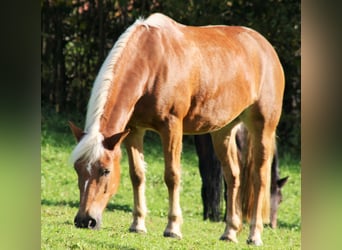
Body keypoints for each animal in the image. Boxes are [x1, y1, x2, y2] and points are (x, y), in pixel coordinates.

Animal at [68, 12, 284, 245]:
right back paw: (230, 231)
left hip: (263, 128)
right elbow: (137, 175)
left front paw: (172, 228)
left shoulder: (171, 127)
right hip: (223, 131)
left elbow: (172, 176)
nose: (85, 220)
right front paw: (138, 224)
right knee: (233, 176)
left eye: (106, 170)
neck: (151, 63)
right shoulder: (134, 130)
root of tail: (266, 48)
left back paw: (254, 235)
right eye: (77, 168)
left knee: (260, 178)